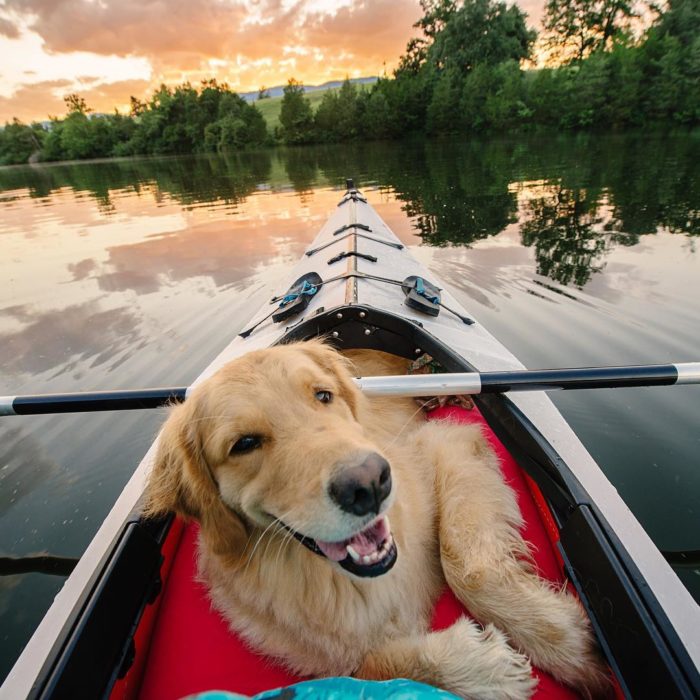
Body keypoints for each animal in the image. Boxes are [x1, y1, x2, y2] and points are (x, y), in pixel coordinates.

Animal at [146, 342, 608, 696]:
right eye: (243, 444)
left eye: (323, 396)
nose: (369, 483)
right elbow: (367, 665)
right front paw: (480, 667)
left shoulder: (447, 440)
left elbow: (468, 568)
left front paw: (569, 645)